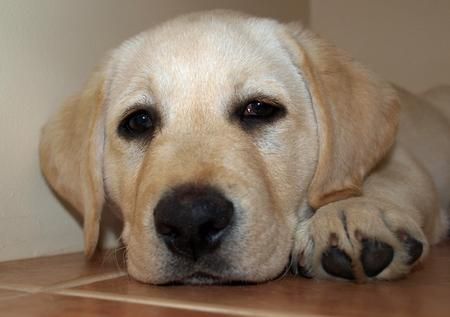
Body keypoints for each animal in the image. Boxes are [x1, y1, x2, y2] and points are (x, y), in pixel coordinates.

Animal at [40, 11, 448, 282]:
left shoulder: (404, 160)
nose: (190, 221)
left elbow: (369, 180)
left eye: (259, 109)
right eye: (138, 121)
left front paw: (350, 209)